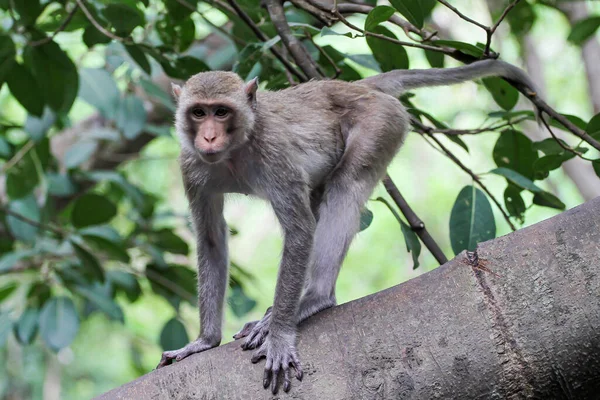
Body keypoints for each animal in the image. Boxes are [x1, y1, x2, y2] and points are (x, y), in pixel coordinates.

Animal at [156, 59, 540, 394]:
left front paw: (280, 335)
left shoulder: (273, 152)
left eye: (221, 112)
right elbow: (211, 240)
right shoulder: (191, 166)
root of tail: (355, 86)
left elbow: (299, 230)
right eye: (199, 112)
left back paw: (313, 298)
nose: (208, 138)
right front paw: (204, 341)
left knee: (346, 185)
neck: (236, 151)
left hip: (381, 122)